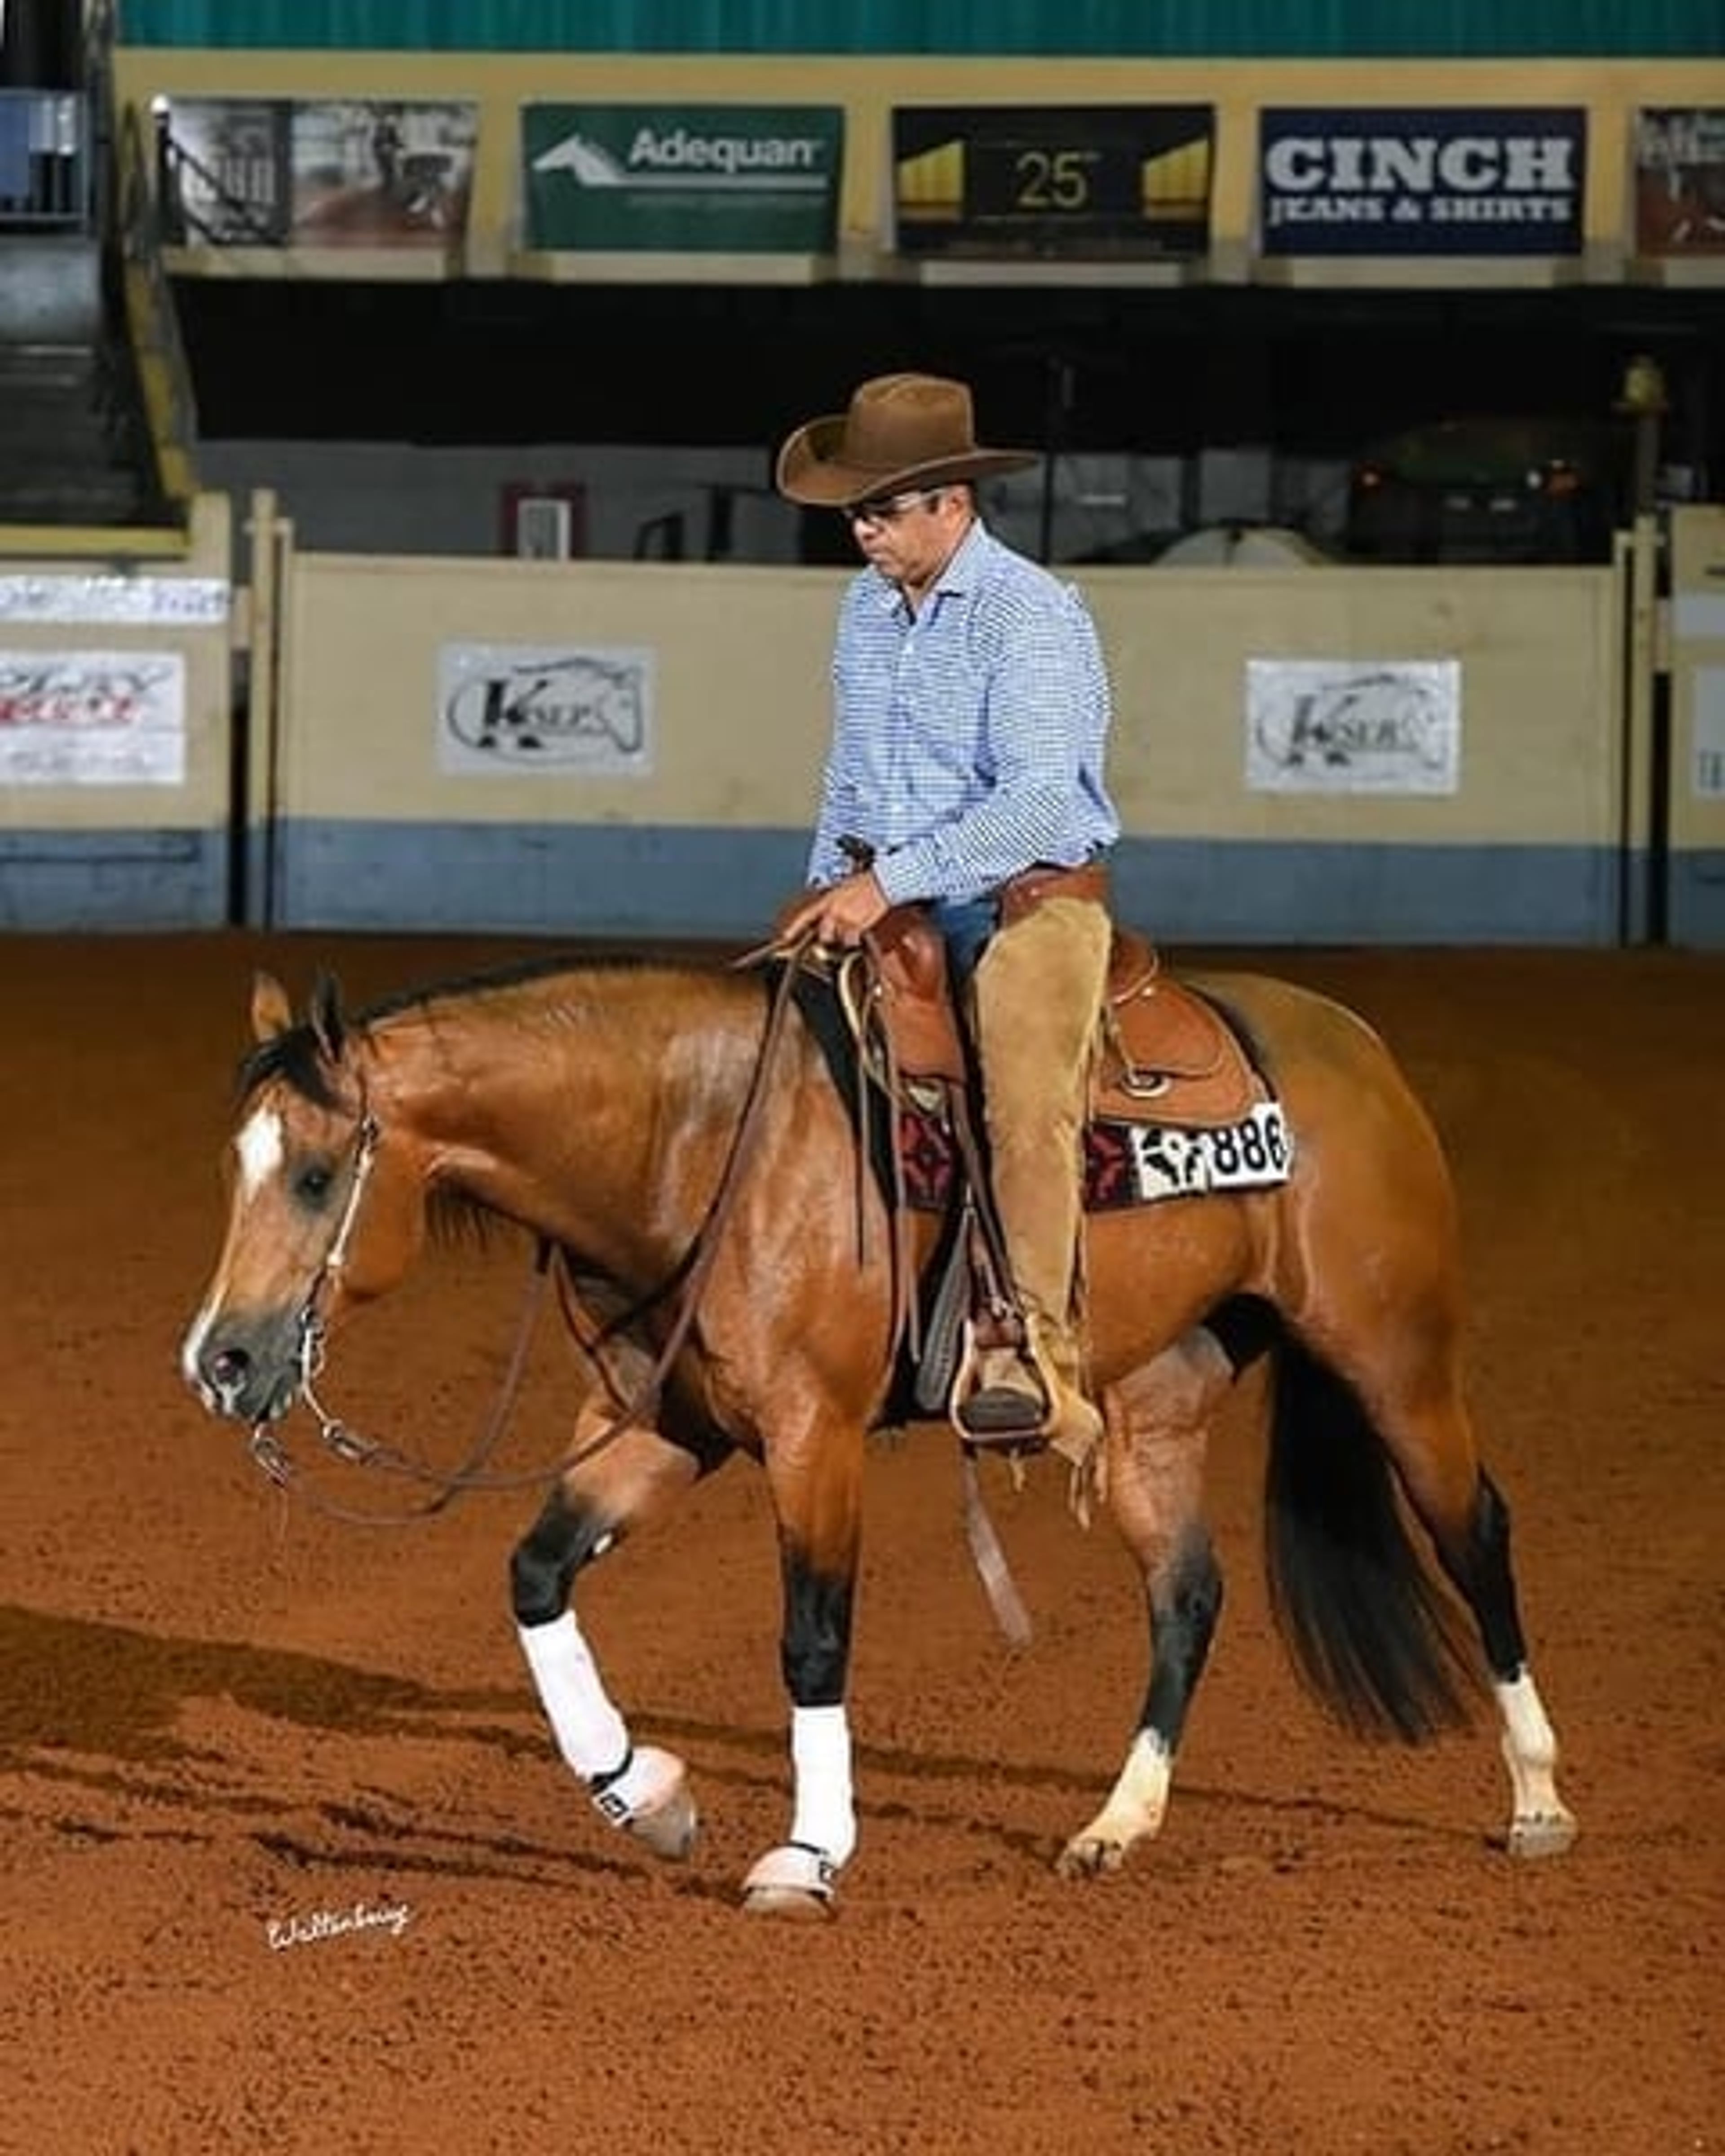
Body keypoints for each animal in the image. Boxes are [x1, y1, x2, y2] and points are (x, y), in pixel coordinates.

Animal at [178, 946, 1576, 1916]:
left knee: (1474, 1529)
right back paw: (1114, 1826)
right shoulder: (657, 1425)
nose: (220, 1362)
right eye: (234, 1166)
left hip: (1395, 1357)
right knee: (1187, 1591)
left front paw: (807, 1853)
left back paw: (1538, 1799)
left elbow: (813, 1639)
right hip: (1154, 1405)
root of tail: (1352, 1040)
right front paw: (649, 1800)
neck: (698, 1146)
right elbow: (534, 1576)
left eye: (317, 1174)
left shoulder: (815, 1436)